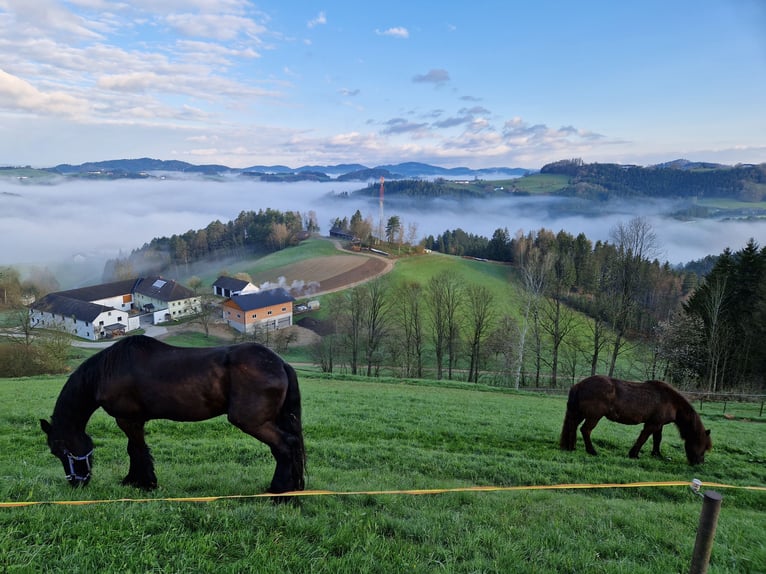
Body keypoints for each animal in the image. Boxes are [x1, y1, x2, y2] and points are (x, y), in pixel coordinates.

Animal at [40, 338, 306, 496]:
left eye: (60, 450)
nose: (77, 482)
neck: (106, 370)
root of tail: (280, 363)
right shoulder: (135, 421)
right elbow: (135, 449)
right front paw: (135, 480)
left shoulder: (128, 420)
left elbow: (136, 450)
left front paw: (145, 483)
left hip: (252, 421)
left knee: (285, 445)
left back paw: (279, 492)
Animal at [560, 376, 712, 466]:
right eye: (703, 445)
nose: (699, 463)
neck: (671, 401)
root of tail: (579, 384)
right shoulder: (652, 424)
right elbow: (643, 438)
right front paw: (633, 454)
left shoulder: (658, 425)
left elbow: (657, 439)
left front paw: (657, 454)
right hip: (594, 416)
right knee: (585, 430)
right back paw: (592, 451)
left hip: (579, 414)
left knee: (573, 427)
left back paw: (570, 447)